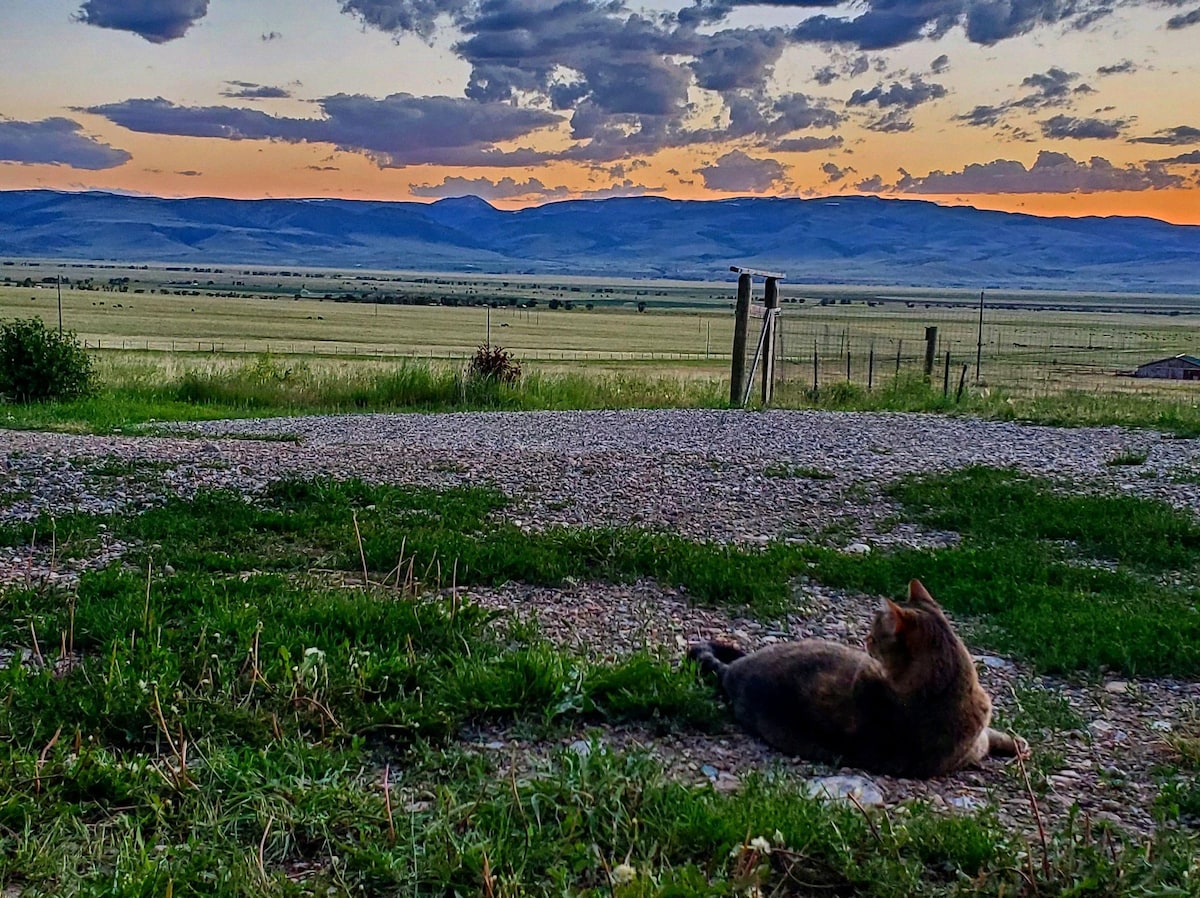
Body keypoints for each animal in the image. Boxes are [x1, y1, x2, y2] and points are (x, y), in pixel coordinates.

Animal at [691, 578, 1027, 773]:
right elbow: (994, 735)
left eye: (875, 634)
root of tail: (733, 676)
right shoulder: (977, 742)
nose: (865, 640)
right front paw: (1016, 742)